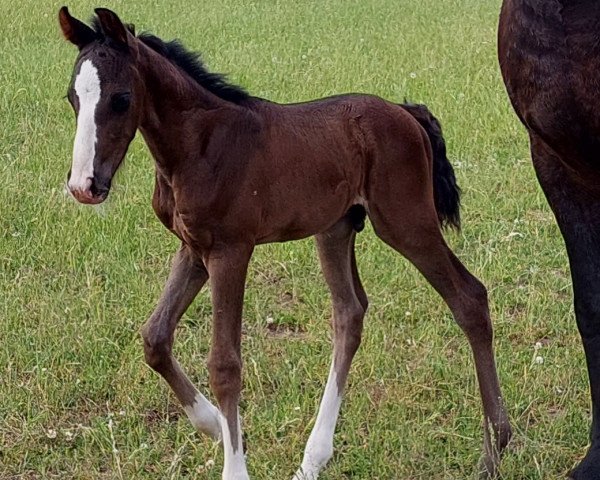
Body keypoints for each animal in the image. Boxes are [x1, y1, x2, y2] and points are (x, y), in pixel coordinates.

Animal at [58, 7, 510, 480]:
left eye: (121, 99)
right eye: (73, 98)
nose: (84, 185)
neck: (199, 145)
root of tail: (406, 113)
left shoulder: (230, 251)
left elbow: (225, 364)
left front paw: (234, 467)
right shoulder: (194, 249)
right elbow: (155, 338)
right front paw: (213, 425)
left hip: (406, 223)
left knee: (469, 298)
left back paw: (493, 451)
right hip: (335, 229)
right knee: (350, 314)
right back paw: (313, 459)